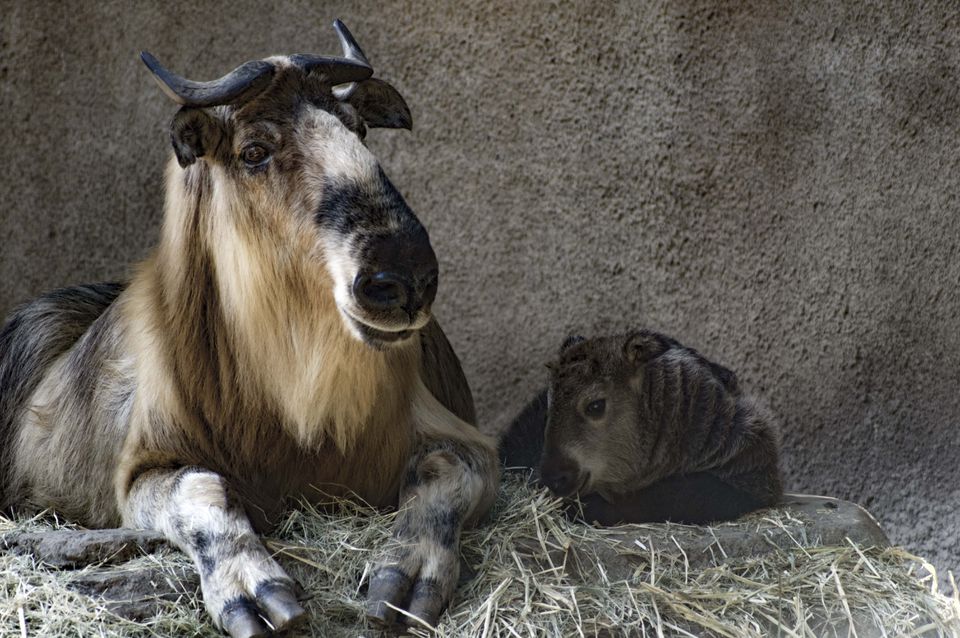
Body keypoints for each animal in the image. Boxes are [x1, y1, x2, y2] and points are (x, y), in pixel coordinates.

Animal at [0, 21, 496, 638]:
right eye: (254, 151)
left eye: (359, 130)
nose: (403, 281)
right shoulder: (139, 474)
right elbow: (201, 490)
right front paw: (253, 589)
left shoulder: (464, 442)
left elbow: (443, 471)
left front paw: (408, 576)